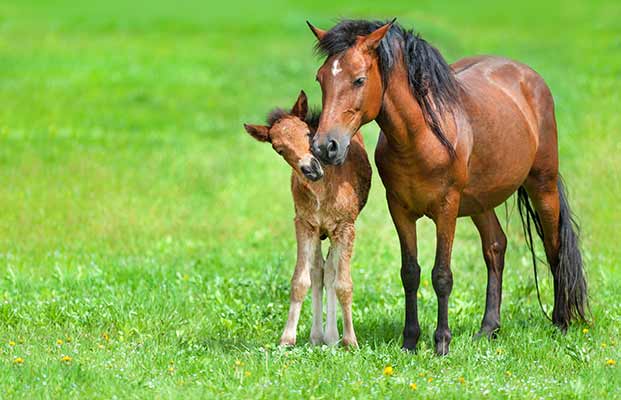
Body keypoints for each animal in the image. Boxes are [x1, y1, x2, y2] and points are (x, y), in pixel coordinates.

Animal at [242, 91, 368, 346]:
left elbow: (343, 283)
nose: (312, 168)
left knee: (330, 271)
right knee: (319, 271)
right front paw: (286, 339)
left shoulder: (345, 227)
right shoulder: (304, 224)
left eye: (308, 134)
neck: (323, 190)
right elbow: (300, 281)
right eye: (279, 149)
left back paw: (331, 336)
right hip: (319, 232)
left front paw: (350, 341)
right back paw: (319, 336)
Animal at [306, 19, 588, 356]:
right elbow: (410, 273)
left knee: (554, 246)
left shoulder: (447, 209)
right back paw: (488, 329)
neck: (421, 136)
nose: (325, 146)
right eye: (321, 78)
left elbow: (441, 275)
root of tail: (529, 77)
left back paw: (561, 322)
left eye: (359, 80)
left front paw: (441, 342)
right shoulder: (399, 209)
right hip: (480, 201)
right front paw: (410, 341)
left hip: (542, 185)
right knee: (495, 247)